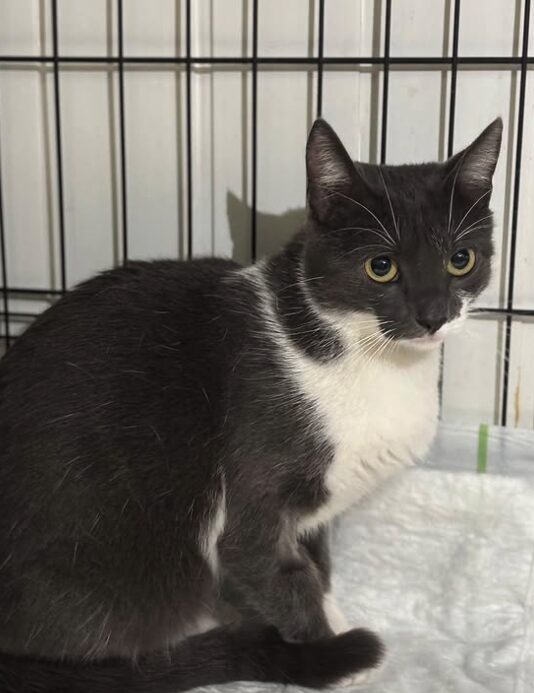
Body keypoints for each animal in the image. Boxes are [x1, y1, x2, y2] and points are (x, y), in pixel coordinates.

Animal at [0, 116, 502, 688]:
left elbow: (318, 567)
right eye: (381, 266)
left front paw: (335, 619)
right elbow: (279, 575)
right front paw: (336, 655)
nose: (434, 314)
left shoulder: (314, 513)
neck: (374, 359)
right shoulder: (255, 481)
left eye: (460, 260)